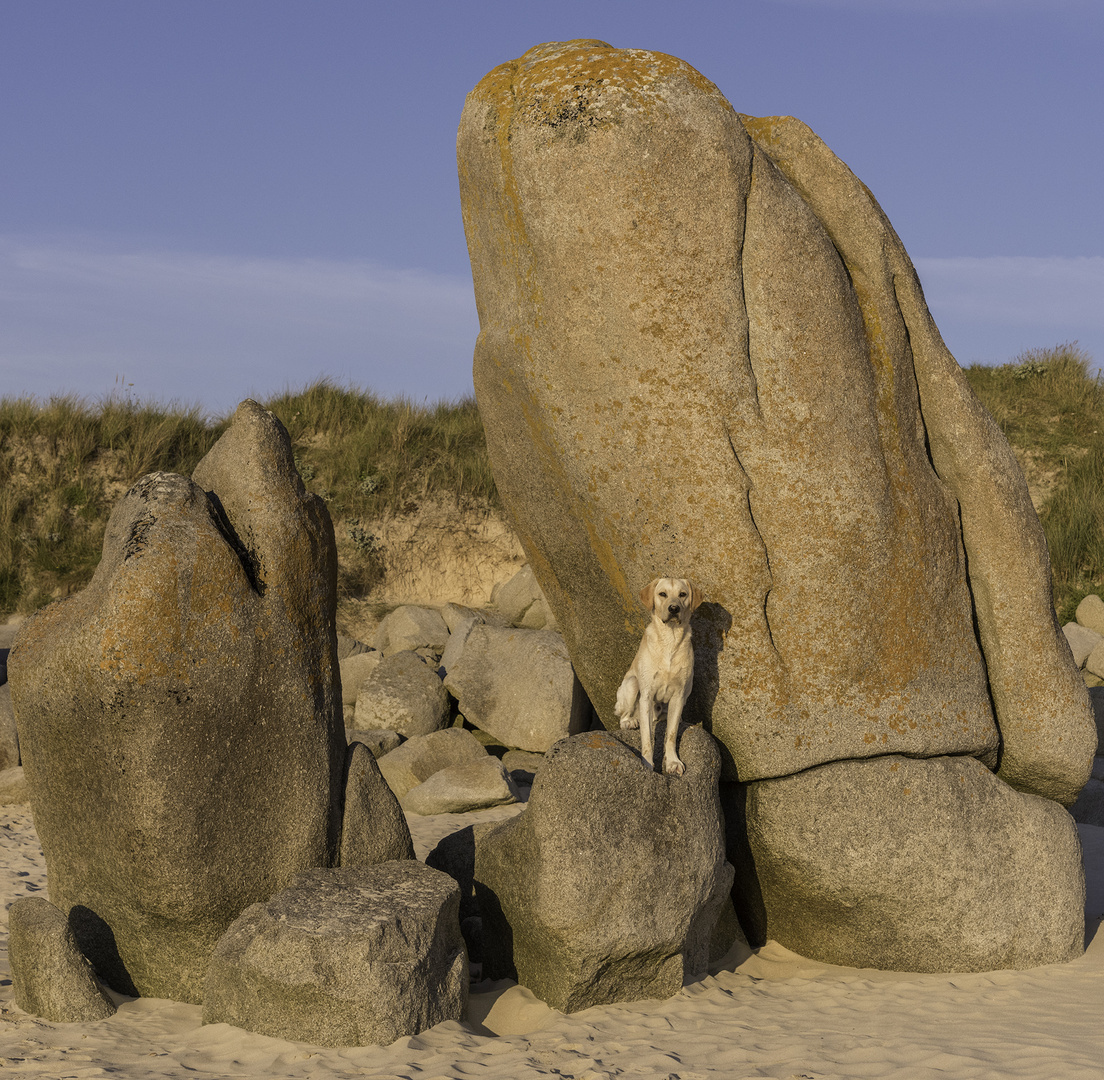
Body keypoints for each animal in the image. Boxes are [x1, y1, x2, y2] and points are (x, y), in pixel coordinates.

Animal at [618, 578, 702, 768]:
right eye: (662, 594)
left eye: (682, 594)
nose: (674, 608)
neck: (670, 638)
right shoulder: (647, 695)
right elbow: (647, 739)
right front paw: (648, 764)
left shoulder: (679, 696)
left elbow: (671, 734)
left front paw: (672, 762)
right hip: (632, 684)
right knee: (623, 716)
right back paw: (630, 721)